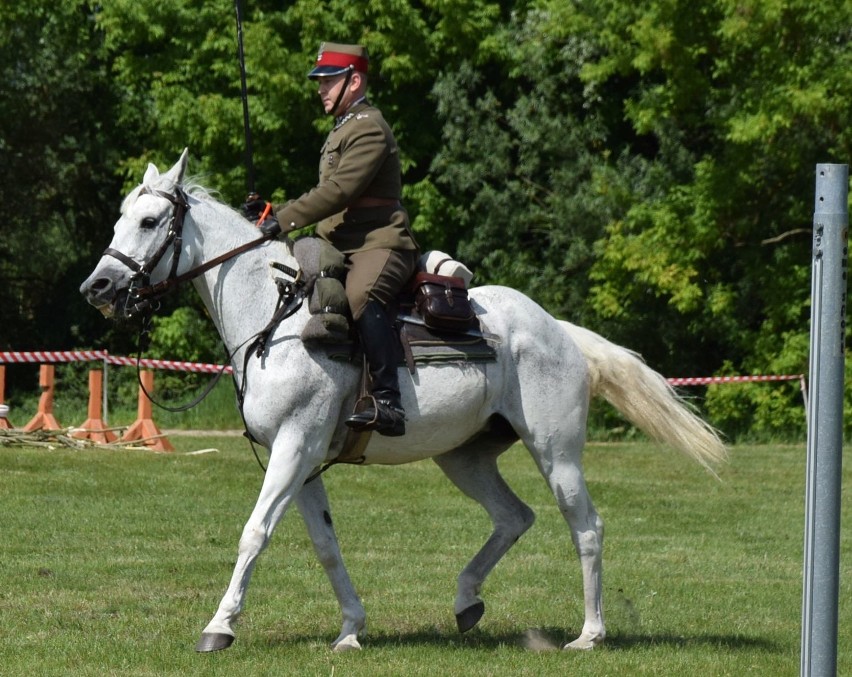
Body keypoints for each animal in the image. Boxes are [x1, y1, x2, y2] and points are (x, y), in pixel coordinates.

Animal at [80, 151, 724, 652]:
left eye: (149, 220)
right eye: (120, 218)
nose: (97, 287)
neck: (275, 316)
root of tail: (558, 330)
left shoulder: (293, 448)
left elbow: (254, 533)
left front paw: (220, 627)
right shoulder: (303, 462)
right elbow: (326, 546)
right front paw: (350, 629)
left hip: (557, 453)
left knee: (585, 526)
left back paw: (589, 634)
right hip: (464, 457)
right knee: (514, 517)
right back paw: (466, 601)